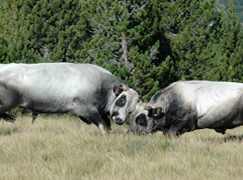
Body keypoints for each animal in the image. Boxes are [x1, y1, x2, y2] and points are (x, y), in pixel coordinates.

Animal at [0, 62, 139, 134]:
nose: (120, 120)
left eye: (131, 109)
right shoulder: (88, 110)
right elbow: (104, 126)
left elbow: (108, 126)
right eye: (122, 100)